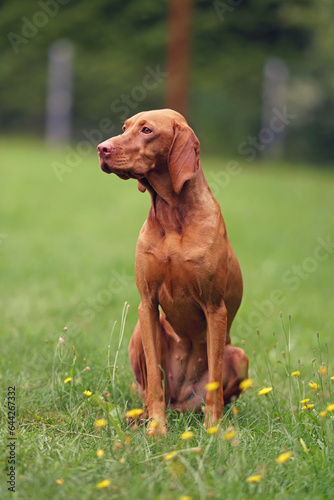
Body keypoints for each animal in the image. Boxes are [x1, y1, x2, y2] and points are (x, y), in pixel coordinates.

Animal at [96, 108, 248, 434]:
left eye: (147, 130)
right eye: (124, 127)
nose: (102, 148)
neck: (172, 216)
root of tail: (178, 401)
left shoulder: (215, 309)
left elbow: (215, 381)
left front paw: (213, 430)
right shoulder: (147, 304)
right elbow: (154, 379)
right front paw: (157, 428)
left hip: (238, 356)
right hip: (139, 334)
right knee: (152, 392)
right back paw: (142, 416)